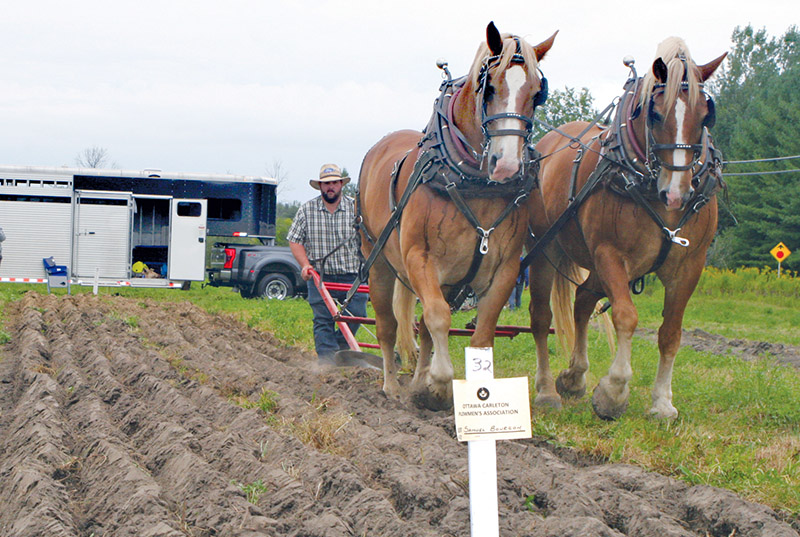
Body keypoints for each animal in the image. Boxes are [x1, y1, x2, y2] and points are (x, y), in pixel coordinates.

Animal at [358, 23, 556, 410]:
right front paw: (439, 382)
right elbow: (437, 316)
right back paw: (392, 387)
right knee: (389, 325)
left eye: (536, 92)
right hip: (378, 261)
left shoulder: (504, 268)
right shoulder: (419, 258)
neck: (472, 183)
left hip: (450, 279)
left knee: (419, 326)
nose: (507, 166)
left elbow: (481, 333)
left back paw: (416, 383)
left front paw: (460, 391)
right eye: (488, 86)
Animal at [528, 37, 728, 420]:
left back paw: (575, 376)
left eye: (705, 114)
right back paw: (547, 390)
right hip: (545, 250)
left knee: (583, 300)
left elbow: (671, 332)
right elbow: (626, 315)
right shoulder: (611, 253)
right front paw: (614, 391)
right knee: (542, 316)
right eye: (654, 113)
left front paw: (662, 402)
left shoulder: (689, 265)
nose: (676, 194)